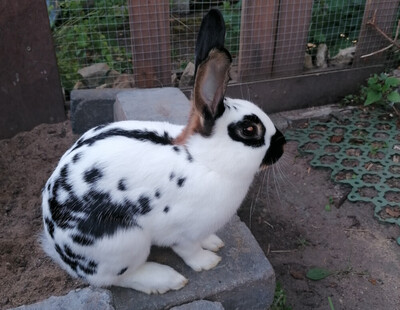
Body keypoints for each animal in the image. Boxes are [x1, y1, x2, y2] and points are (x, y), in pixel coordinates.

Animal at [40, 9, 286, 296]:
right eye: (249, 130)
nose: (283, 144)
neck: (205, 161)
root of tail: (59, 250)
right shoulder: (182, 231)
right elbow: (189, 251)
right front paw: (208, 261)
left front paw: (214, 242)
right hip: (125, 243)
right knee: (116, 278)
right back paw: (166, 279)